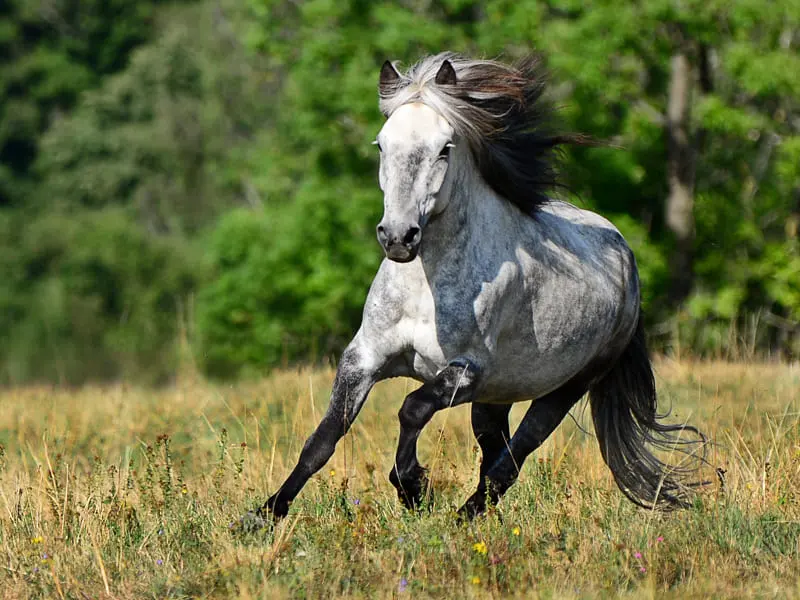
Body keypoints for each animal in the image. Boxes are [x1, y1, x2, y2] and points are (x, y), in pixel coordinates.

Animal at [253, 52, 705, 524]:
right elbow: (323, 439)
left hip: (566, 387)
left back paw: (463, 517)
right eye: (381, 145)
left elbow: (411, 409)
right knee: (495, 453)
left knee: (512, 459)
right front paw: (265, 514)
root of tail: (625, 256)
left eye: (444, 148)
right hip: (498, 395)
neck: (425, 291)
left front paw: (413, 488)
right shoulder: (364, 358)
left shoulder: (467, 373)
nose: (398, 237)